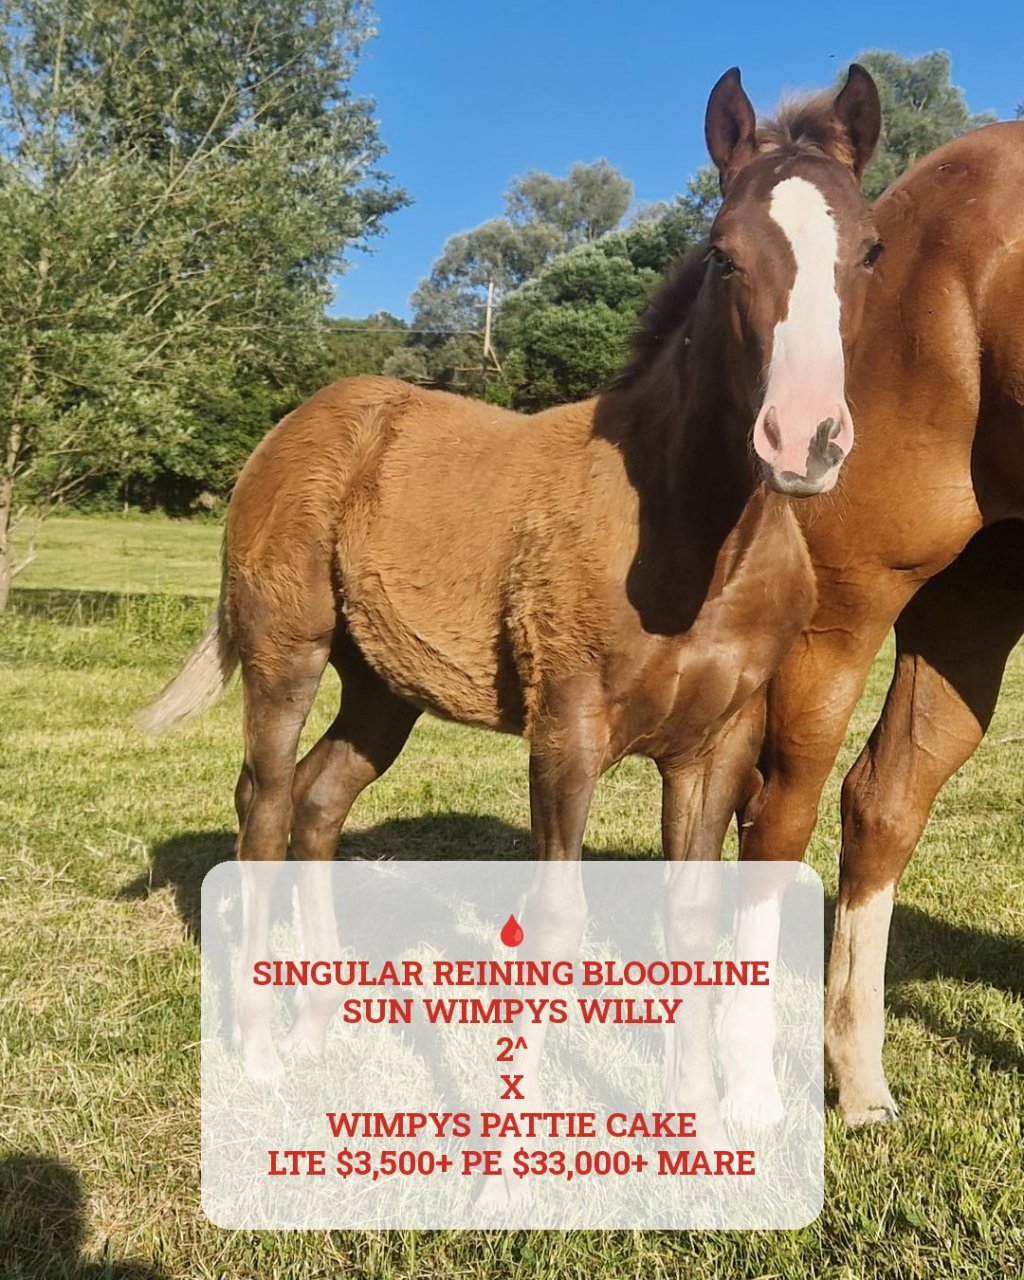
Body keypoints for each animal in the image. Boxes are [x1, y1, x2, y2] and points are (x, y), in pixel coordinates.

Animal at [141, 65, 884, 1093]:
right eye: (723, 254)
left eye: (870, 251)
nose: (804, 439)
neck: (696, 544)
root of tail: (292, 425)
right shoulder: (566, 727)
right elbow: (557, 916)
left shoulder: (718, 743)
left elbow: (691, 917)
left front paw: (694, 1101)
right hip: (285, 649)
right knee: (263, 801)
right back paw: (256, 1041)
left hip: (383, 687)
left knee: (320, 798)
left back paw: (316, 1021)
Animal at [634, 118, 1024, 1126]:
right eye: (723, 257)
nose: (804, 435)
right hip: (850, 609)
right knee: (785, 810)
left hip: (972, 601)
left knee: (882, 797)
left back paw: (859, 1081)